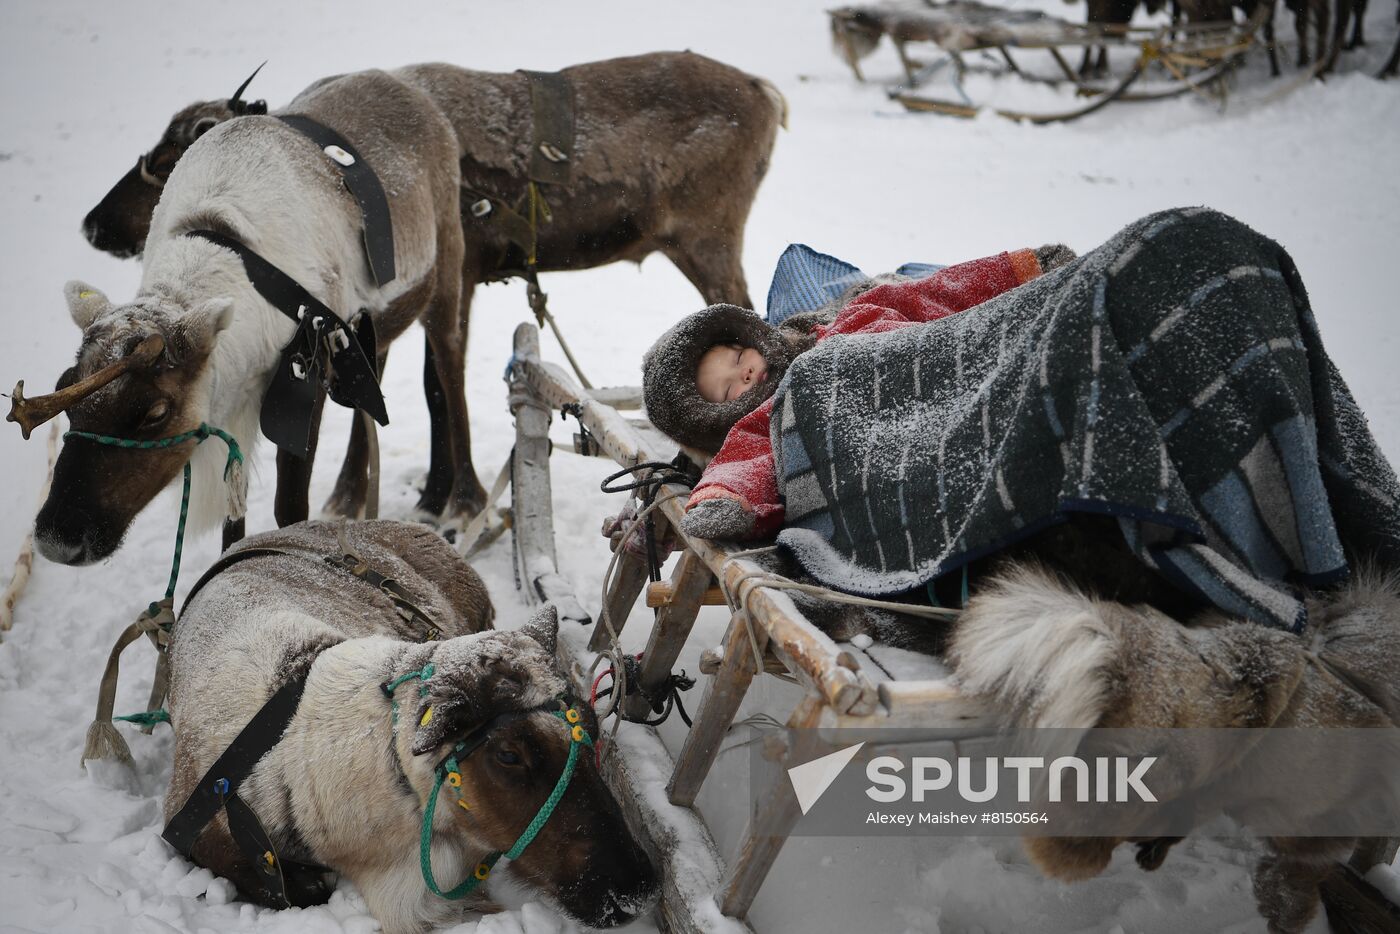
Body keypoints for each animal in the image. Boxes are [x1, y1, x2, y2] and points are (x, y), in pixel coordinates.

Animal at [78, 55, 787, 524]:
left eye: (167, 157)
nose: (92, 225)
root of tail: (769, 96)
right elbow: (388, 395)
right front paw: (368, 495)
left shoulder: (457, 276)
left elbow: (434, 388)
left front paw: (445, 496)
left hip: (710, 239)